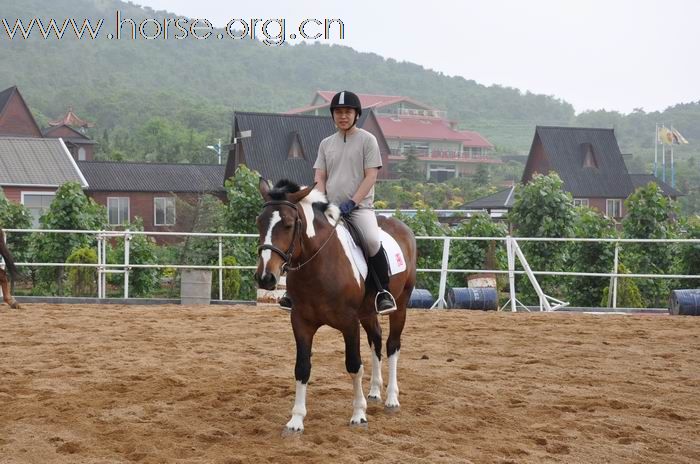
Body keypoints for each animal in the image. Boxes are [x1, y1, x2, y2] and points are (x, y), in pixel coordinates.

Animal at [256, 179, 416, 434]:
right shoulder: (301, 322)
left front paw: (359, 414)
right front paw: (296, 420)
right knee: (377, 340)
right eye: (259, 222)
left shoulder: (349, 323)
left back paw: (392, 398)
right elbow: (302, 367)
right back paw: (374, 391)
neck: (319, 265)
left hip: (400, 305)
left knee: (392, 346)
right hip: (368, 313)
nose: (265, 278)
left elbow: (354, 365)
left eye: (289, 225)